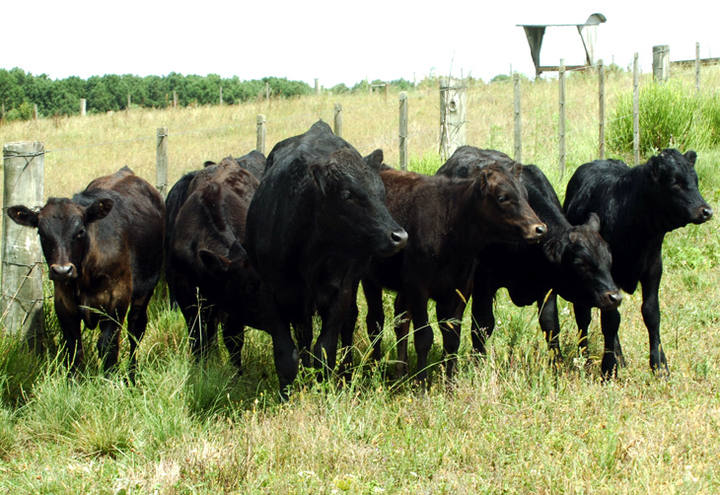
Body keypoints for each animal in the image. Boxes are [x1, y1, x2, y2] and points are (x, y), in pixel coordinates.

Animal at [7, 168, 165, 380]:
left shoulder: (117, 300)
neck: (85, 274)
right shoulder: (64, 303)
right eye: (41, 233)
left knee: (135, 330)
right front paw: (73, 381)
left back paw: (132, 374)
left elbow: (107, 345)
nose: (62, 271)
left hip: (144, 292)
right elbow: (73, 346)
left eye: (80, 231)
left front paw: (109, 379)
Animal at [245, 122, 408, 394]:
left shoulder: (340, 290)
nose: (400, 236)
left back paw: (346, 372)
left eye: (381, 192)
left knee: (348, 322)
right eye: (347, 195)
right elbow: (286, 354)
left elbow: (325, 349)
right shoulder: (269, 292)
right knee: (304, 334)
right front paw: (288, 395)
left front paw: (324, 390)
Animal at [362, 161, 548, 378]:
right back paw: (374, 368)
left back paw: (401, 371)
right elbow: (424, 337)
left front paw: (450, 380)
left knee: (401, 321)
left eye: (525, 196)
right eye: (502, 197)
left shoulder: (461, 288)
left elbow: (452, 337)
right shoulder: (418, 287)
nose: (540, 228)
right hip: (370, 279)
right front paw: (422, 381)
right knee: (375, 322)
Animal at [436, 147, 620, 360]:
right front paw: (478, 361)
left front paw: (556, 363)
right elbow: (482, 325)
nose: (615, 297)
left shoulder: (547, 286)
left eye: (609, 260)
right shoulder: (484, 281)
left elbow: (550, 325)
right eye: (580, 263)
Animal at [564, 149, 712, 378]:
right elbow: (610, 321)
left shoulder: (654, 268)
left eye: (695, 180)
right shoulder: (609, 274)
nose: (705, 211)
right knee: (583, 316)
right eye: (674, 182)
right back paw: (587, 359)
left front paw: (659, 365)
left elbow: (651, 313)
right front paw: (609, 368)